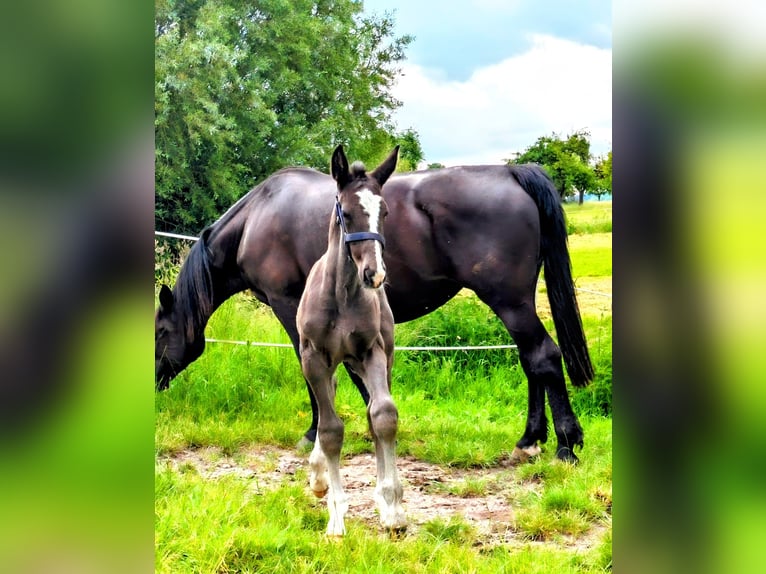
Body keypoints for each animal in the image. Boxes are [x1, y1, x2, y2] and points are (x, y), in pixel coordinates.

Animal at [156, 153, 596, 464]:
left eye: (160, 331)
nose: (155, 382)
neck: (255, 220)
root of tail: (511, 173)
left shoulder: (289, 309)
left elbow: (314, 374)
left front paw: (314, 432)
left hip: (510, 302)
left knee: (543, 356)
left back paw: (565, 445)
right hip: (517, 303)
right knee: (530, 359)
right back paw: (530, 440)